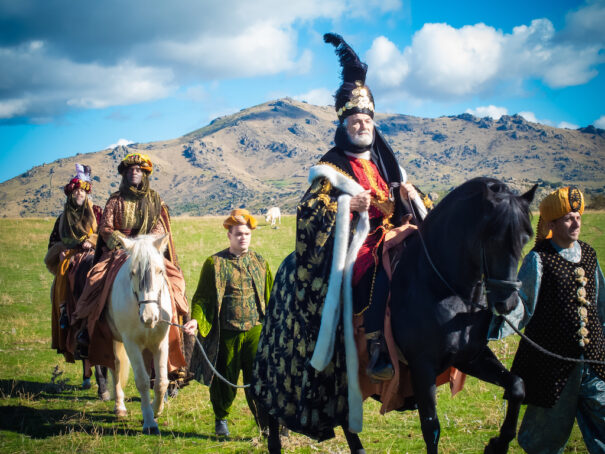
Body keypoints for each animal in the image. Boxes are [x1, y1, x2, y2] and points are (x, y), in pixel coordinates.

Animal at [106, 236, 171, 434]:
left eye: (160, 271)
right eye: (133, 273)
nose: (149, 317)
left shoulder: (160, 343)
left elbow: (161, 381)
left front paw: (157, 409)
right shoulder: (131, 343)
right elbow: (142, 381)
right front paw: (149, 421)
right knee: (115, 366)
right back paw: (119, 406)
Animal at [262, 178, 536, 454]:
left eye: (525, 238)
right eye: (493, 238)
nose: (507, 302)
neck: (442, 286)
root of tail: (287, 264)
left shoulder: (470, 356)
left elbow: (517, 386)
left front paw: (498, 443)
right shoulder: (422, 366)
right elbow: (431, 427)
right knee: (269, 399)